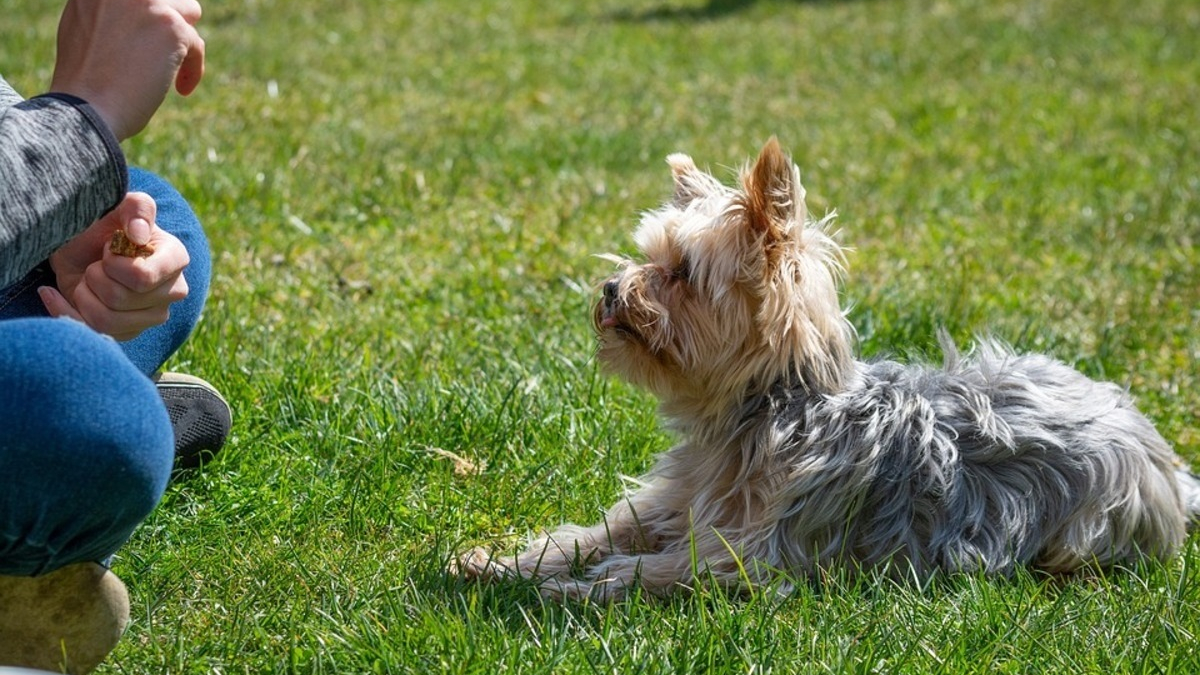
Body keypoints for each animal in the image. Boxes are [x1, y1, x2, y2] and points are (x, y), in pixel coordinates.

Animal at [453, 138, 1195, 598]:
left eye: (682, 272)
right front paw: (503, 562)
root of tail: (1164, 459)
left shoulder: (753, 553)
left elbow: (659, 568)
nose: (611, 291)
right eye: (645, 256)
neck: (762, 408)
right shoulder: (674, 501)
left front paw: (578, 586)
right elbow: (596, 532)